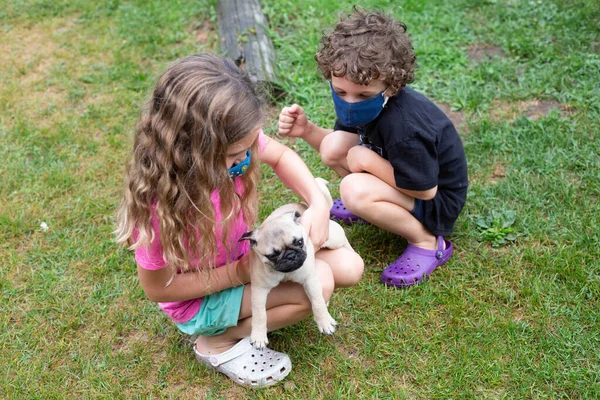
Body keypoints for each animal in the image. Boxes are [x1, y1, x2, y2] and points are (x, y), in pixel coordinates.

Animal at [239, 178, 352, 350]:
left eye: (299, 242)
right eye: (272, 255)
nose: (291, 256)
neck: (285, 273)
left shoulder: (310, 279)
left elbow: (317, 301)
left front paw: (324, 321)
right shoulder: (259, 290)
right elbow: (259, 313)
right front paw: (258, 335)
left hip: (334, 238)